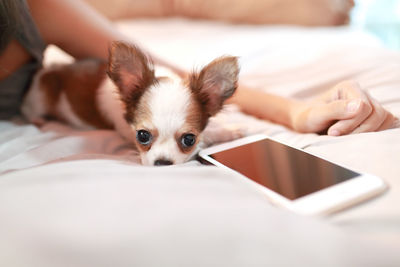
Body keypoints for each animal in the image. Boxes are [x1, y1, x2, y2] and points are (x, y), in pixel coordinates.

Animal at [21, 40, 239, 165]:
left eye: (188, 139)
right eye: (142, 136)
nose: (162, 163)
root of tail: (48, 70)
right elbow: (211, 132)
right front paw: (233, 129)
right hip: (40, 97)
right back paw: (40, 120)